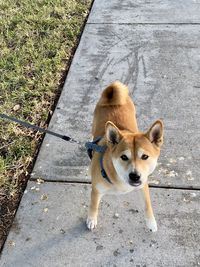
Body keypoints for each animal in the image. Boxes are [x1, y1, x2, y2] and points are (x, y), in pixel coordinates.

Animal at [85, 81, 162, 232]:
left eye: (145, 156)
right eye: (124, 157)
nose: (135, 176)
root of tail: (112, 95)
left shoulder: (143, 185)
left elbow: (147, 205)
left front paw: (151, 222)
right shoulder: (96, 190)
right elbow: (93, 205)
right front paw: (91, 219)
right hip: (95, 120)